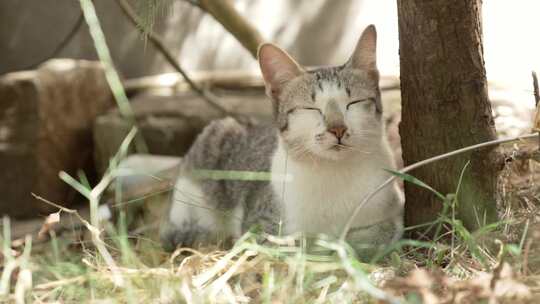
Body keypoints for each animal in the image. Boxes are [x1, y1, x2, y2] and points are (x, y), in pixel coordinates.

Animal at [161, 25, 404, 255]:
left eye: (353, 103)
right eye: (311, 109)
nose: (338, 128)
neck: (334, 172)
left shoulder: (393, 207)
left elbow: (379, 233)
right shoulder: (259, 224)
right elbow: (288, 244)